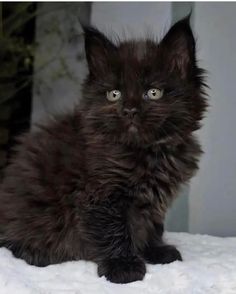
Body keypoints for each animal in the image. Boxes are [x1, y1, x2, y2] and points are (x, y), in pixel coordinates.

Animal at [0, 15, 206, 282]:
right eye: (114, 94)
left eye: (153, 92)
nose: (129, 110)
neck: (149, 152)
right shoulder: (100, 194)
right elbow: (114, 230)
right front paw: (123, 266)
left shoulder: (152, 201)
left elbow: (152, 224)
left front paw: (155, 251)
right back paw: (36, 253)